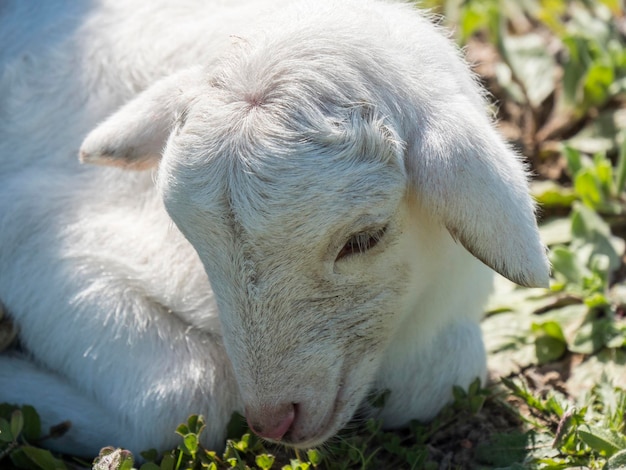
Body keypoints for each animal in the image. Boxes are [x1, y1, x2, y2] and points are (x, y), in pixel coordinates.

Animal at [0, 0, 544, 458]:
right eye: (193, 241)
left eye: (365, 238)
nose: (274, 421)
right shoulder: (37, 232)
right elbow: (181, 398)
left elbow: (438, 377)